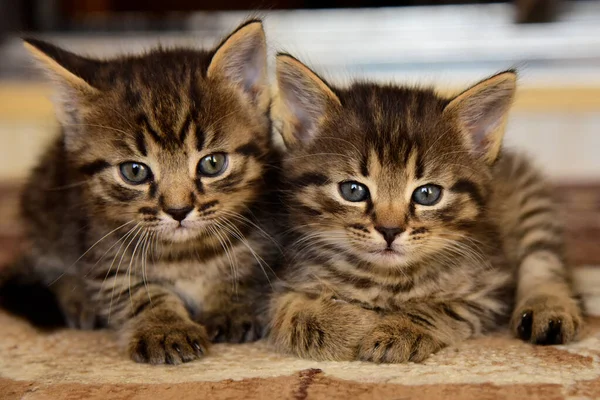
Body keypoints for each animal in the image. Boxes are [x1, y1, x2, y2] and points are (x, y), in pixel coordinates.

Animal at [1, 21, 278, 366]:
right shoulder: (104, 253)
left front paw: (231, 306)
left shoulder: (265, 237)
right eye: (134, 171)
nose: (178, 210)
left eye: (213, 164)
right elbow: (137, 293)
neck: (184, 254)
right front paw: (165, 330)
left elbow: (245, 272)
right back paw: (79, 299)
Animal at [270, 54, 584, 364]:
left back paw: (549, 310)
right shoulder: (288, 279)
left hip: (533, 207)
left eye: (427, 194)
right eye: (353, 190)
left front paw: (400, 328)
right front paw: (349, 325)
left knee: (544, 263)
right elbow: (289, 311)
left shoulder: (490, 289)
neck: (387, 281)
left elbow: (445, 308)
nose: (390, 230)